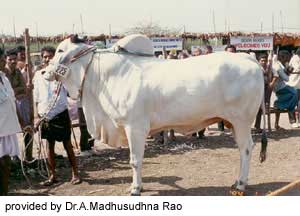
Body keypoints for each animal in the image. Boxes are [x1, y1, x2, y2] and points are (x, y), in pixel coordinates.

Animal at [43, 34, 266, 196]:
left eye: (60, 50)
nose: (44, 72)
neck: (106, 76)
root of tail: (248, 57)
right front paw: (137, 186)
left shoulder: (135, 128)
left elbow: (135, 160)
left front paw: (135, 189)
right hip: (233, 122)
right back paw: (237, 182)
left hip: (242, 121)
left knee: (246, 148)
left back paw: (241, 184)